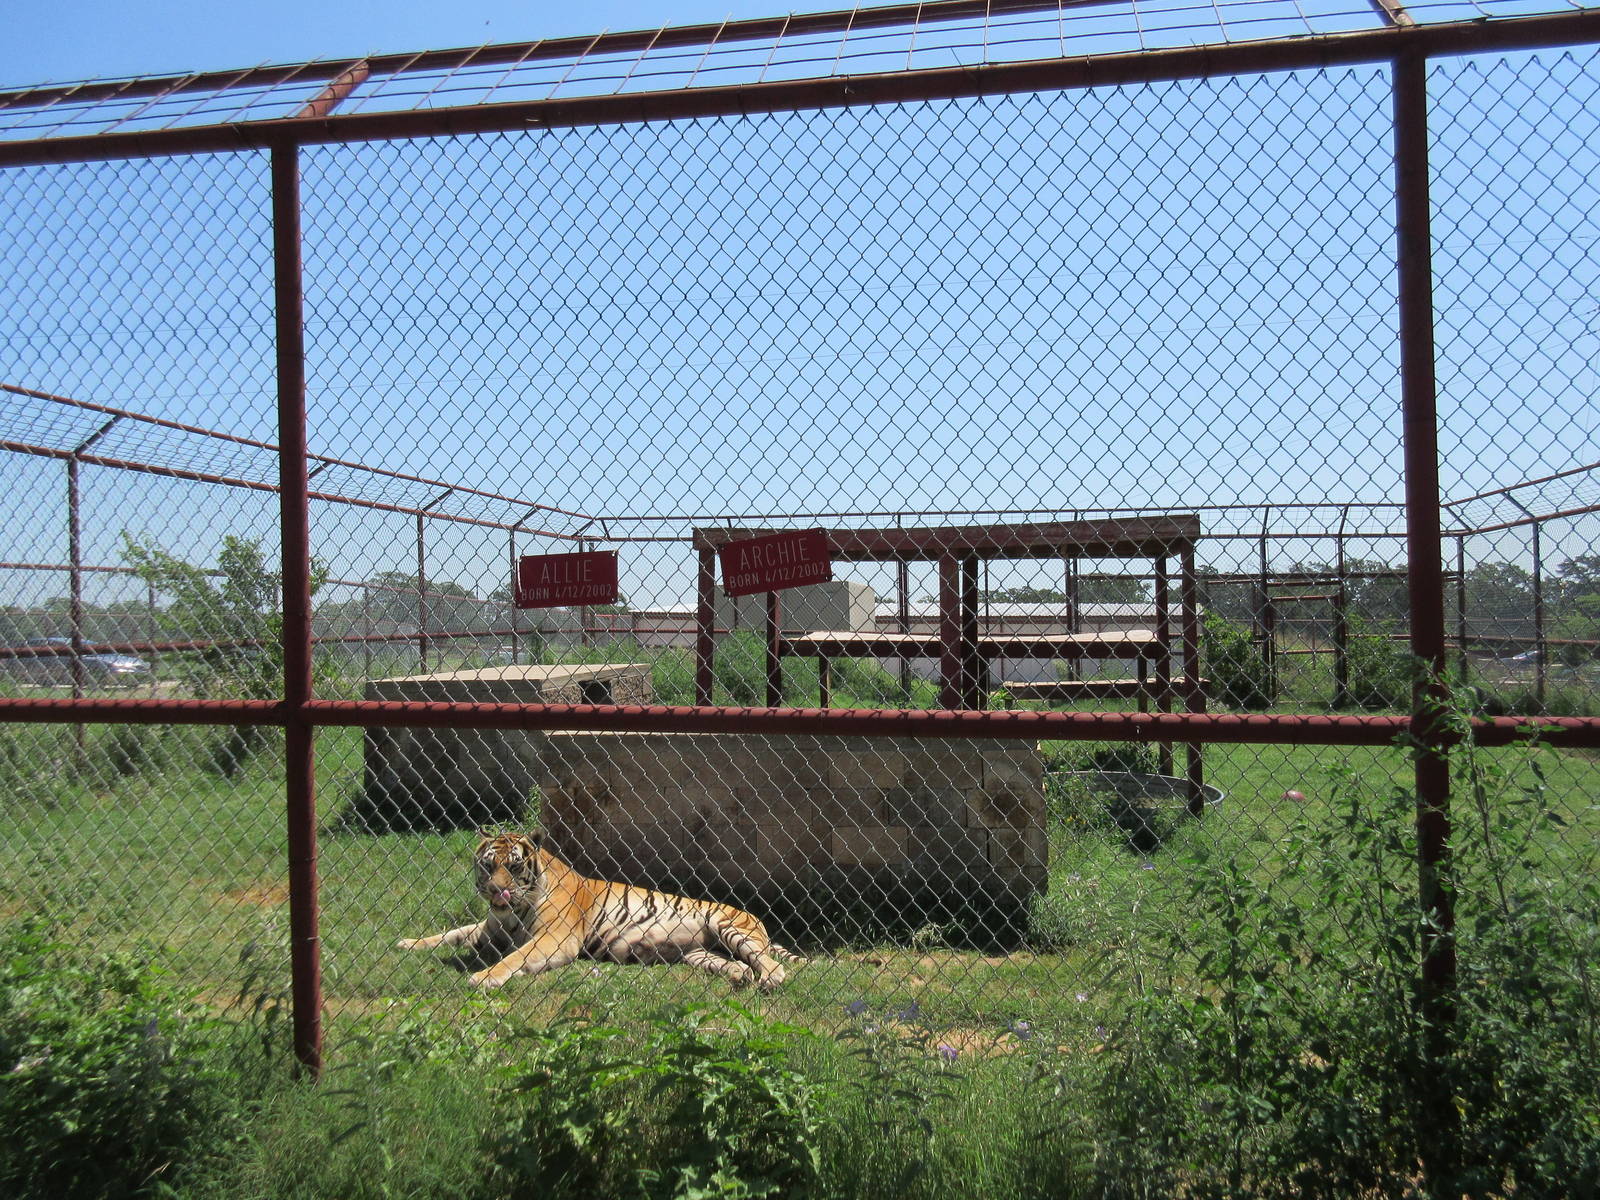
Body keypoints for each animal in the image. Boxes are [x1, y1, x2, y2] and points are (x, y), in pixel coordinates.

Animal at [397, 830, 805, 992]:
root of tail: (753, 917)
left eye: (513, 867)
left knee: (769, 961)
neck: (512, 909)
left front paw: (484, 977)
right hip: (700, 953)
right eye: (488, 866)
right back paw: (741, 977)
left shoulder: (555, 939)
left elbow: (515, 957)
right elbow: (451, 933)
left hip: (729, 927)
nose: (498, 890)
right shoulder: (488, 928)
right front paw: (407, 944)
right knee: (735, 963)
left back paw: (768, 979)